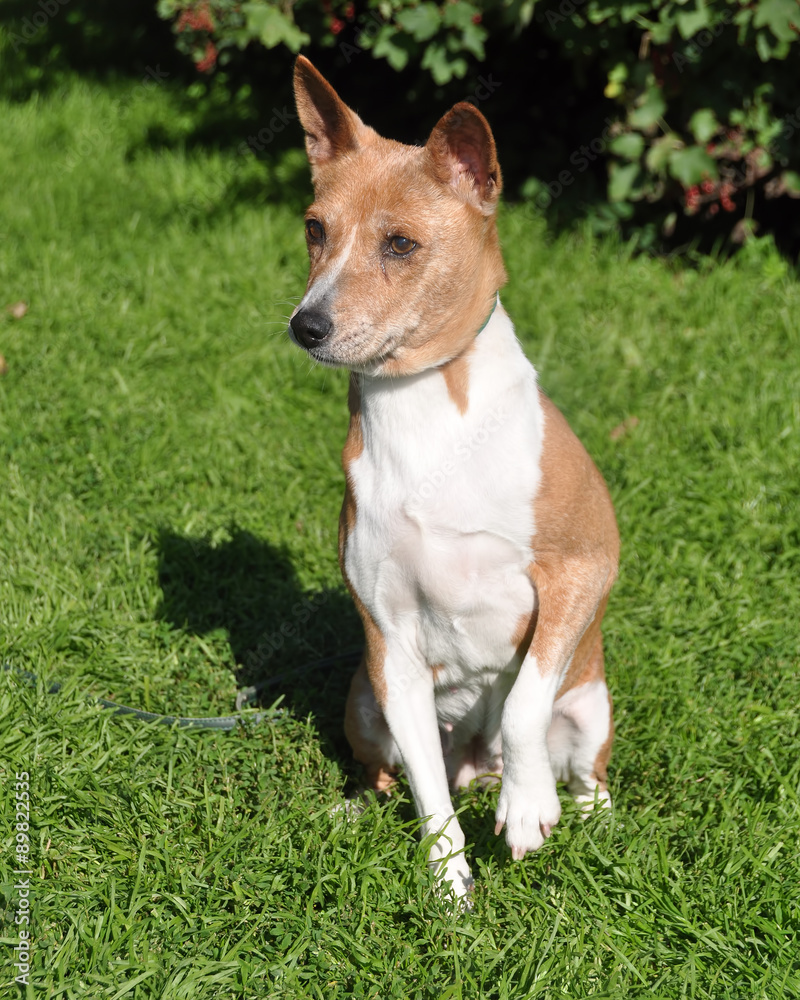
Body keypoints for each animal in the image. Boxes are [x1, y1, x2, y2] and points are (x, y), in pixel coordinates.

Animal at [288, 54, 620, 900]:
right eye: (315, 229)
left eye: (401, 244)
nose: (306, 326)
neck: (425, 416)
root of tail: (479, 762)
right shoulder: (392, 652)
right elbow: (429, 797)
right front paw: (449, 889)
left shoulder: (583, 567)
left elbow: (525, 700)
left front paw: (528, 809)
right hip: (364, 704)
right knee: (399, 775)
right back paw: (356, 809)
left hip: (592, 704)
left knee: (587, 772)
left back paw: (588, 819)